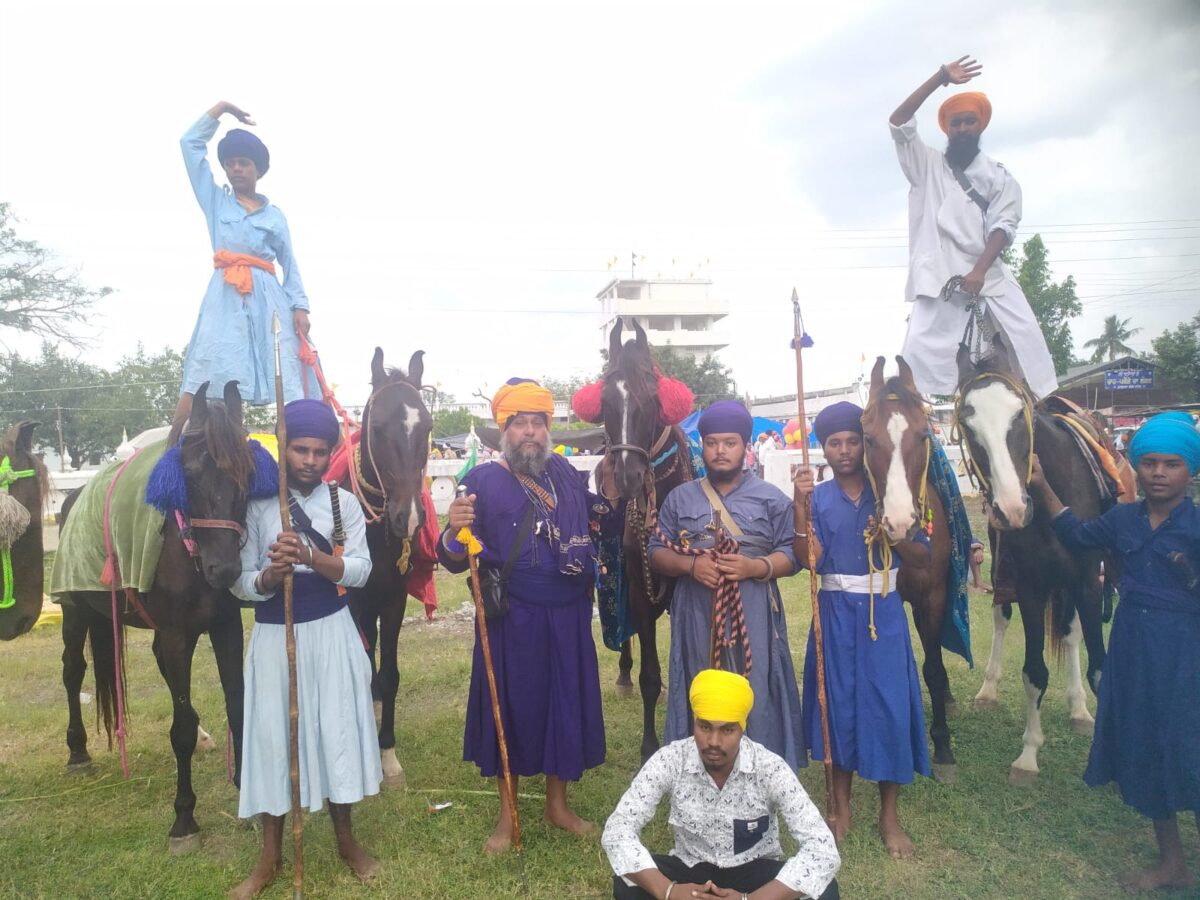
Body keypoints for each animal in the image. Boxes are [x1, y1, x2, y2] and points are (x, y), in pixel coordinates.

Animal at [58, 381, 264, 851]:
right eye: (190, 474)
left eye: (247, 475)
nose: (225, 570)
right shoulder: (176, 634)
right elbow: (180, 727)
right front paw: (184, 818)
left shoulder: (223, 629)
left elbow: (238, 705)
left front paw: (251, 797)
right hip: (74, 612)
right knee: (73, 672)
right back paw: (78, 751)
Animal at [954, 336, 1106, 785]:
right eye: (968, 426)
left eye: (1019, 414)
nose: (1011, 509)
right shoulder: (1031, 585)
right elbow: (1033, 671)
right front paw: (1028, 755)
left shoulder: (1088, 581)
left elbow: (1099, 667)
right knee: (1002, 616)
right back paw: (988, 690)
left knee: (1071, 635)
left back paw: (1079, 709)